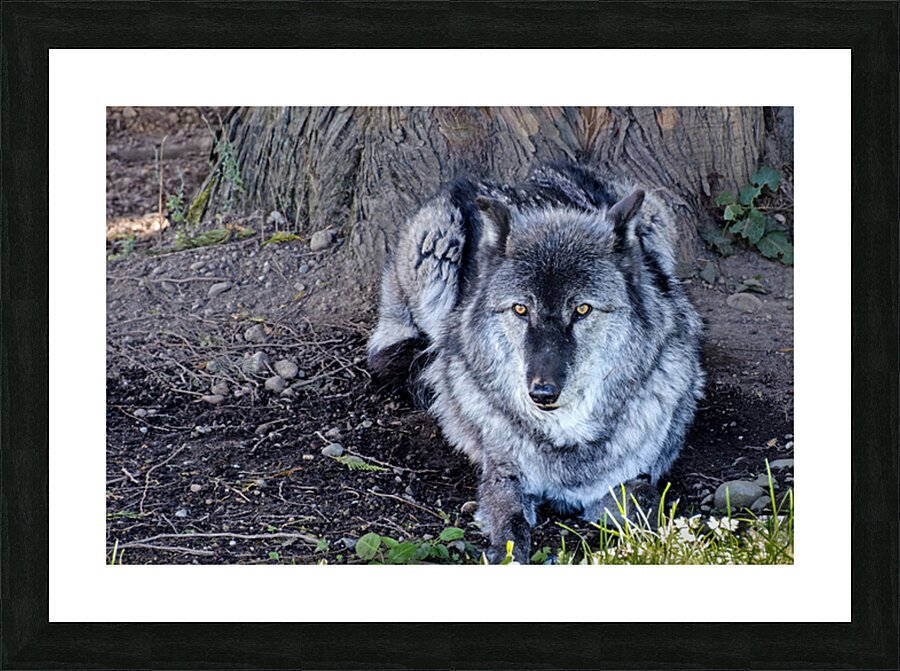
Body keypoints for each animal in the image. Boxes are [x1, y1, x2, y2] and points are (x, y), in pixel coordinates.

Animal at [367, 162, 703, 562]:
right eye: (520, 309)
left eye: (582, 310)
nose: (542, 392)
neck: (566, 437)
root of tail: (518, 178)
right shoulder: (503, 474)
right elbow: (512, 524)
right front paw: (507, 555)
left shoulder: (631, 478)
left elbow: (651, 507)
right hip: (436, 246)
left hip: (656, 216)